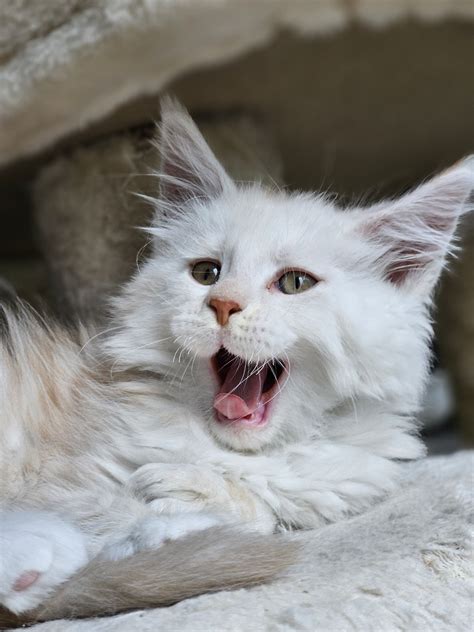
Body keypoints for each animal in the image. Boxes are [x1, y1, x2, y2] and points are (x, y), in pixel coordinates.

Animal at [0, 99, 474, 624]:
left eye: (294, 283)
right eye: (207, 273)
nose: (223, 304)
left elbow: (257, 513)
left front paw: (184, 508)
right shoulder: (55, 469)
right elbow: (94, 504)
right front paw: (172, 510)